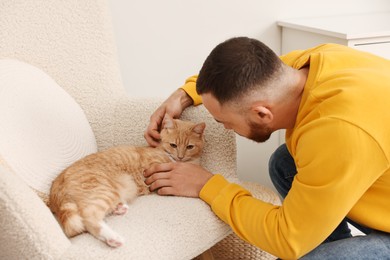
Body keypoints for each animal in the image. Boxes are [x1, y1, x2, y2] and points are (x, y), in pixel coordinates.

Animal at [48, 115, 206, 248]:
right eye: (173, 145)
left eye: (189, 147)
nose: (180, 157)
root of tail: (55, 186)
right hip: (104, 191)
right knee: (88, 218)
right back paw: (113, 238)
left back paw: (119, 208)